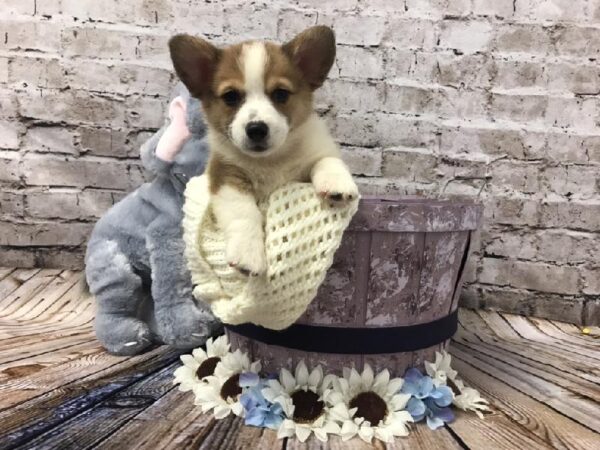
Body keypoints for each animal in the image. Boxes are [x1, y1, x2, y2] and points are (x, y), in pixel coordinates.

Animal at [169, 25, 358, 276]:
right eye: (230, 96)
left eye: (280, 94)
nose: (256, 129)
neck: (270, 161)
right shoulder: (225, 175)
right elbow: (243, 212)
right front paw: (248, 253)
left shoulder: (316, 153)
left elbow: (327, 160)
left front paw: (337, 184)